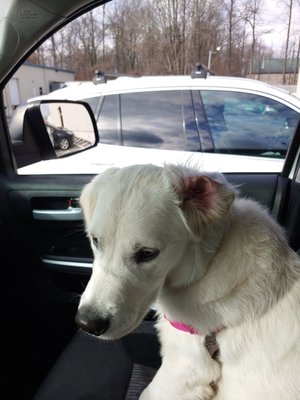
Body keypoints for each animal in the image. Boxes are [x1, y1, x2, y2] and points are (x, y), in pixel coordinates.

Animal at [75, 163, 300, 400]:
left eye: (147, 253)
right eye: (95, 240)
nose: (87, 324)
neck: (206, 265)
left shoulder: (183, 366)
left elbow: (147, 393)